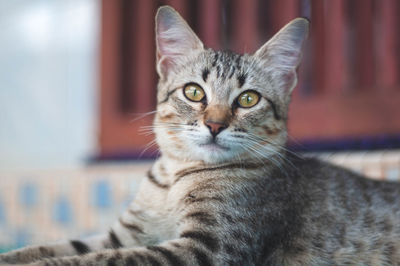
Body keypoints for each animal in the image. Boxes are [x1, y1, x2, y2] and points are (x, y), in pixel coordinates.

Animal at [0, 4, 400, 266]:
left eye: (248, 99)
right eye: (194, 92)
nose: (215, 124)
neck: (176, 178)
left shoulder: (206, 249)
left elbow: (99, 260)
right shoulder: (124, 234)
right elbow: (54, 247)